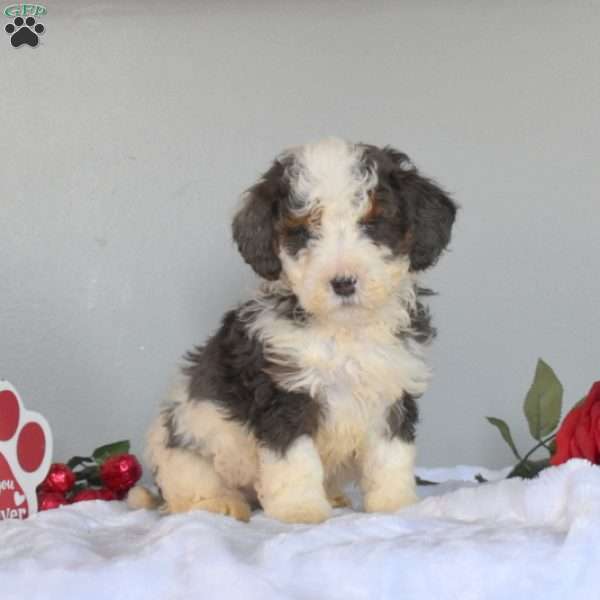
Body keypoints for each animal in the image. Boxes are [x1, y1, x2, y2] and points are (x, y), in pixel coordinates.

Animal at [129, 138, 458, 524]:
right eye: (303, 232)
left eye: (373, 224)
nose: (343, 283)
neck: (343, 331)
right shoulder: (285, 395)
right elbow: (295, 460)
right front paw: (300, 510)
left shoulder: (391, 392)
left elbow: (390, 458)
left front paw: (395, 505)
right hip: (183, 441)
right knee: (188, 488)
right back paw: (219, 505)